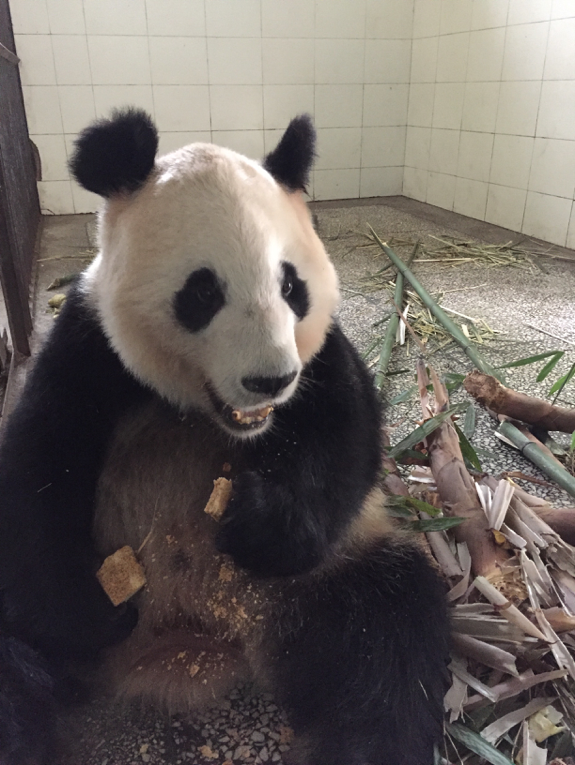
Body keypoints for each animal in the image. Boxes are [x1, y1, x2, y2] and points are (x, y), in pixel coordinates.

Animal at [0, 112, 450, 764]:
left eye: (292, 287)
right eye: (203, 292)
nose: (271, 380)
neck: (204, 409)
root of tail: (195, 643)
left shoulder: (318, 360)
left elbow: (346, 439)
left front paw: (257, 522)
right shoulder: (88, 345)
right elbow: (37, 470)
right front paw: (92, 611)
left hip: (319, 580)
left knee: (386, 636)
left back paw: (360, 743)